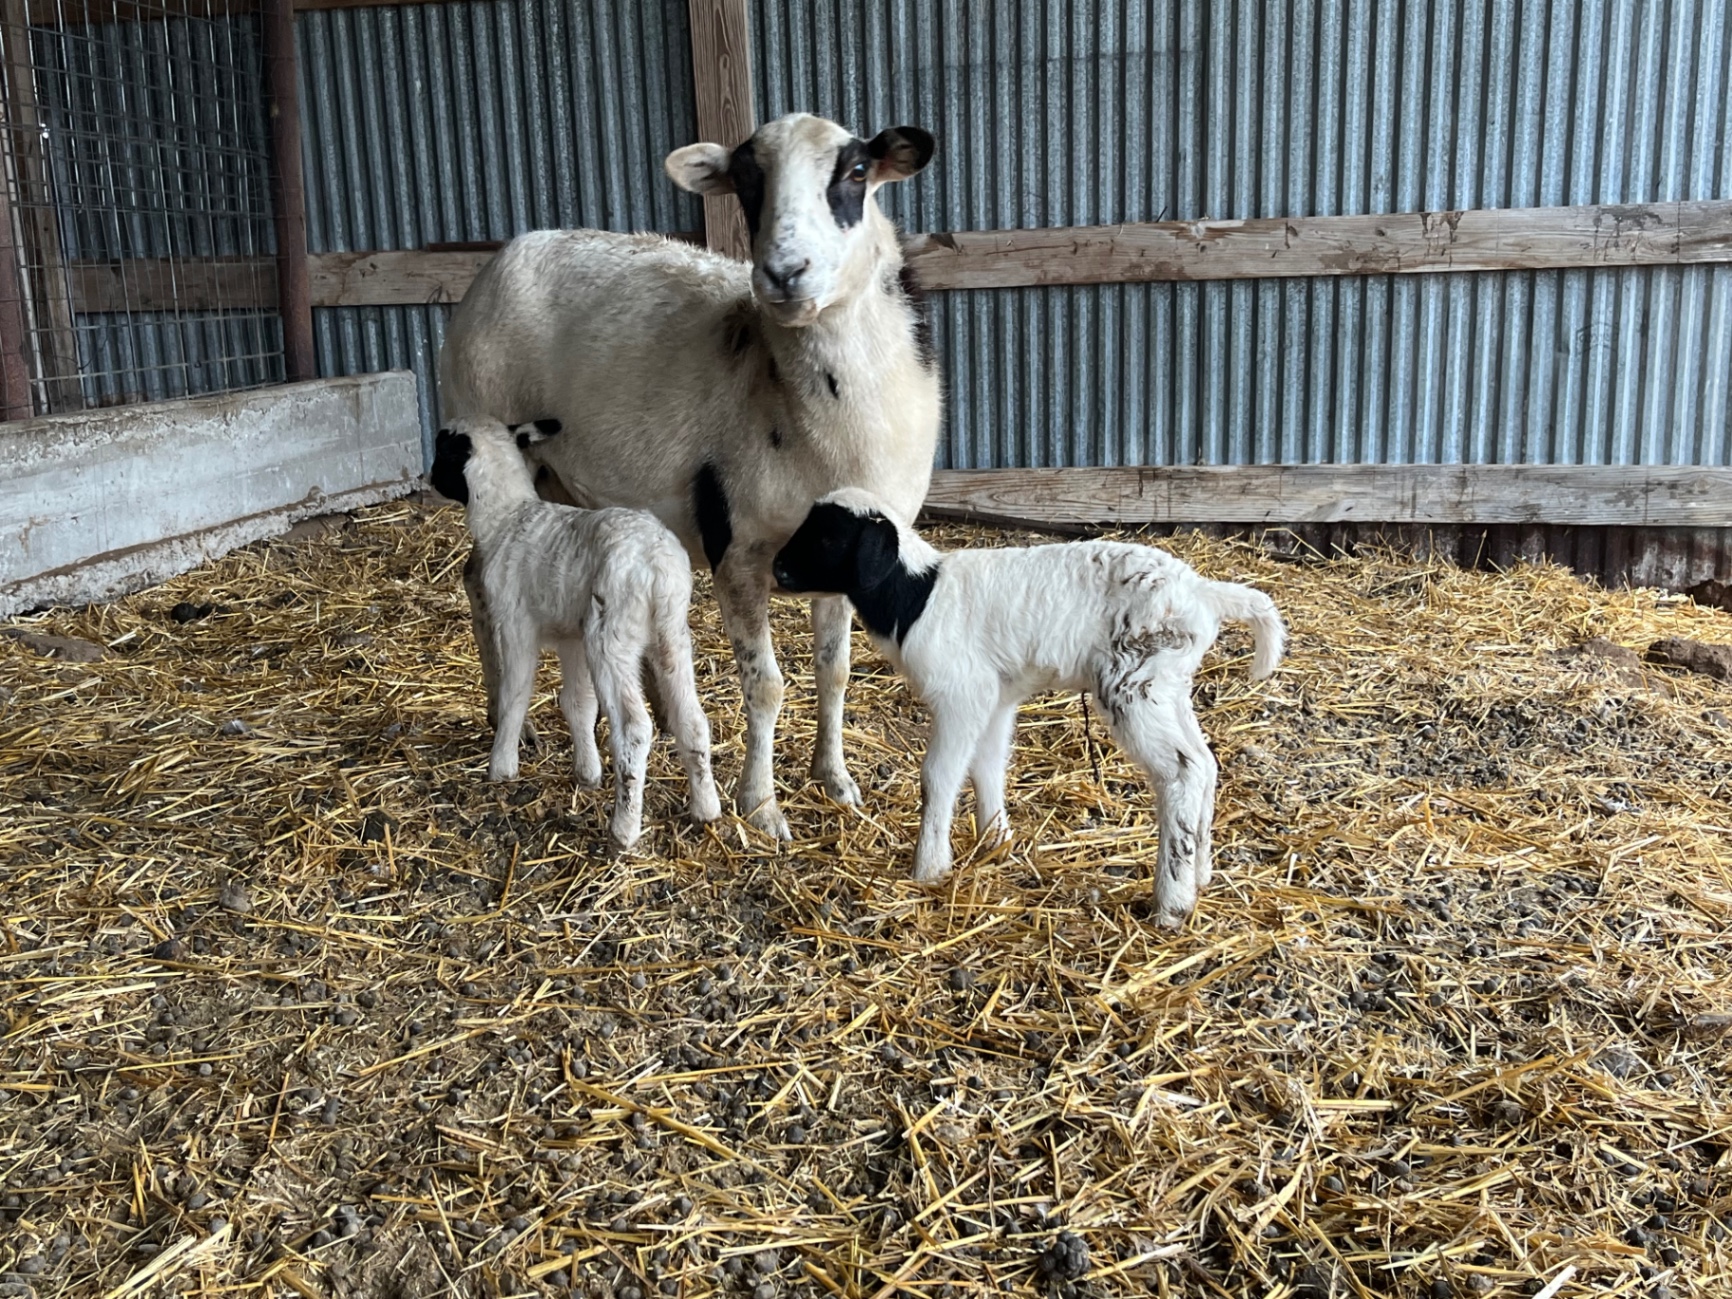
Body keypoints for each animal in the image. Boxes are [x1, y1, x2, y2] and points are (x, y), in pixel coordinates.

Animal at [427, 417, 721, 850]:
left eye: (442, 451)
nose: (428, 479)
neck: (507, 517)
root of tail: (654, 562)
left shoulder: (515, 623)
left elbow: (515, 692)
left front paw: (502, 766)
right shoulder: (571, 638)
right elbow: (578, 703)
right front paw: (587, 773)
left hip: (611, 637)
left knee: (634, 728)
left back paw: (624, 828)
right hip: (671, 634)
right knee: (693, 717)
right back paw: (705, 807)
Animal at [771, 490, 1285, 925]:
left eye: (827, 536)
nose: (775, 568)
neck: (915, 597)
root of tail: (1203, 594)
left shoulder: (962, 693)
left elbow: (938, 776)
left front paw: (929, 867)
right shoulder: (996, 697)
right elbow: (987, 765)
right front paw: (994, 841)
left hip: (1133, 683)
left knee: (1181, 772)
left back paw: (1172, 903)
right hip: (1167, 686)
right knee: (1204, 762)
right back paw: (1201, 873)